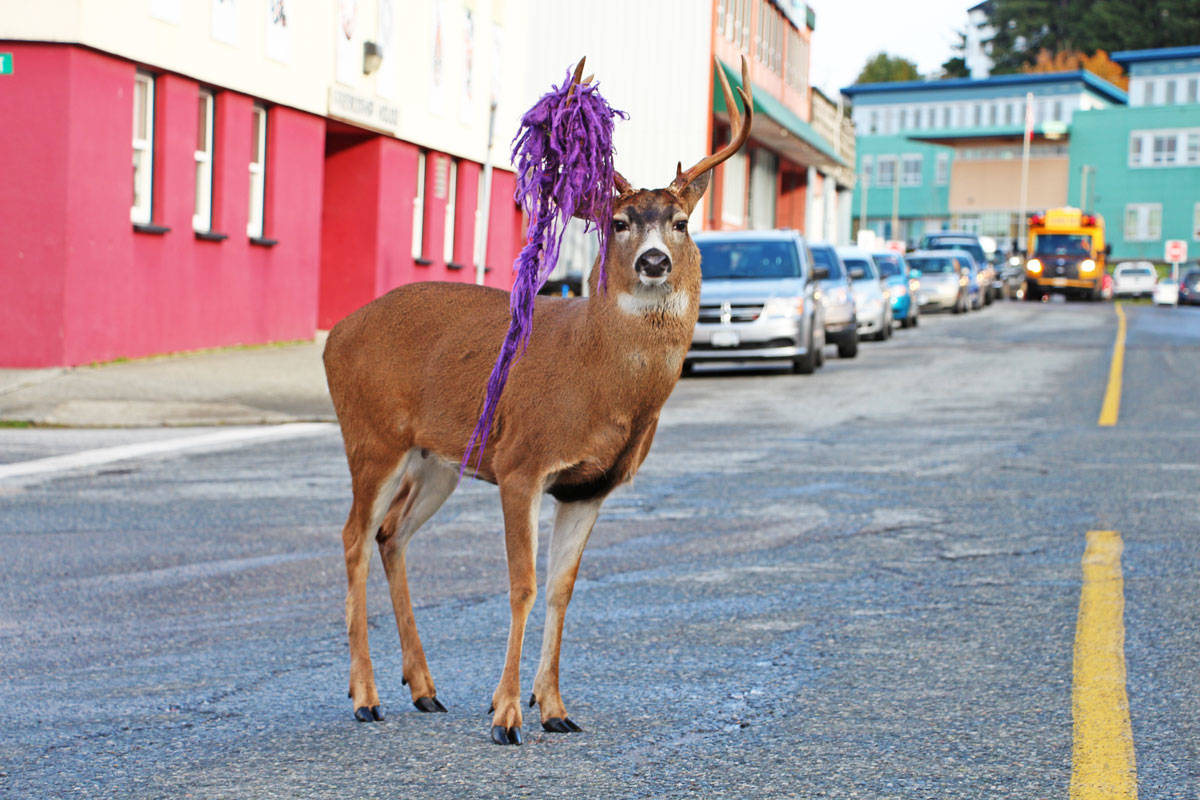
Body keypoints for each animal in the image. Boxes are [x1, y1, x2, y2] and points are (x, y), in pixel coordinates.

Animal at [319, 54, 748, 743]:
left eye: (681, 223)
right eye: (619, 223)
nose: (655, 262)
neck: (599, 378)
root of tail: (335, 334)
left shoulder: (588, 486)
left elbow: (560, 590)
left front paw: (556, 710)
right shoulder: (522, 462)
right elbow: (520, 583)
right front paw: (506, 715)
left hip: (436, 459)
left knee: (391, 533)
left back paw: (425, 689)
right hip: (372, 436)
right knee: (354, 535)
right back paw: (366, 696)